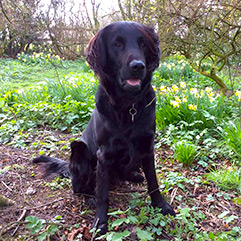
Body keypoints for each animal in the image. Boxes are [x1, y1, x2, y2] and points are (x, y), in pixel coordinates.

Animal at [33, 21, 175, 234]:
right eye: (117, 44)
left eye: (142, 44)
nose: (138, 66)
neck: (128, 106)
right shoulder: (104, 154)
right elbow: (103, 195)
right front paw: (100, 221)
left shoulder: (147, 146)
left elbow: (153, 181)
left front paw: (161, 204)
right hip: (79, 149)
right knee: (79, 188)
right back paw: (89, 197)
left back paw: (133, 176)